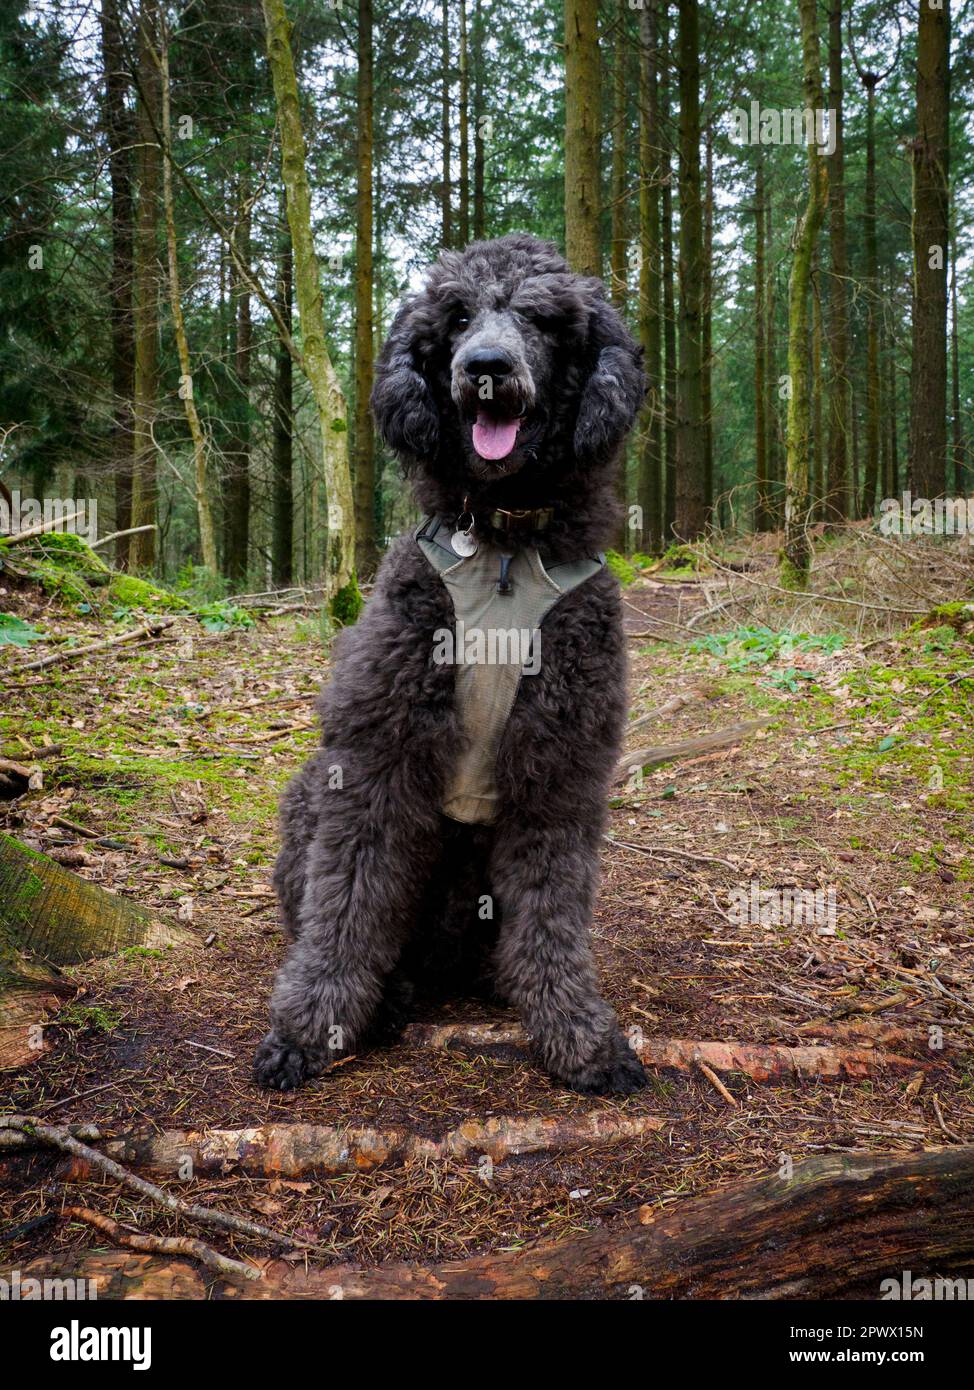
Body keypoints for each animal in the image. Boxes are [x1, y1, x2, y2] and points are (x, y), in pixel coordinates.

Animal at [254, 230, 650, 1095]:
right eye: (458, 317)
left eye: (541, 317)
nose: (486, 366)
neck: (504, 541)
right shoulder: (378, 755)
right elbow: (347, 906)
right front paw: (310, 1029)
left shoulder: (559, 770)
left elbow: (552, 917)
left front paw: (578, 1035)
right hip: (309, 793)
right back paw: (388, 999)